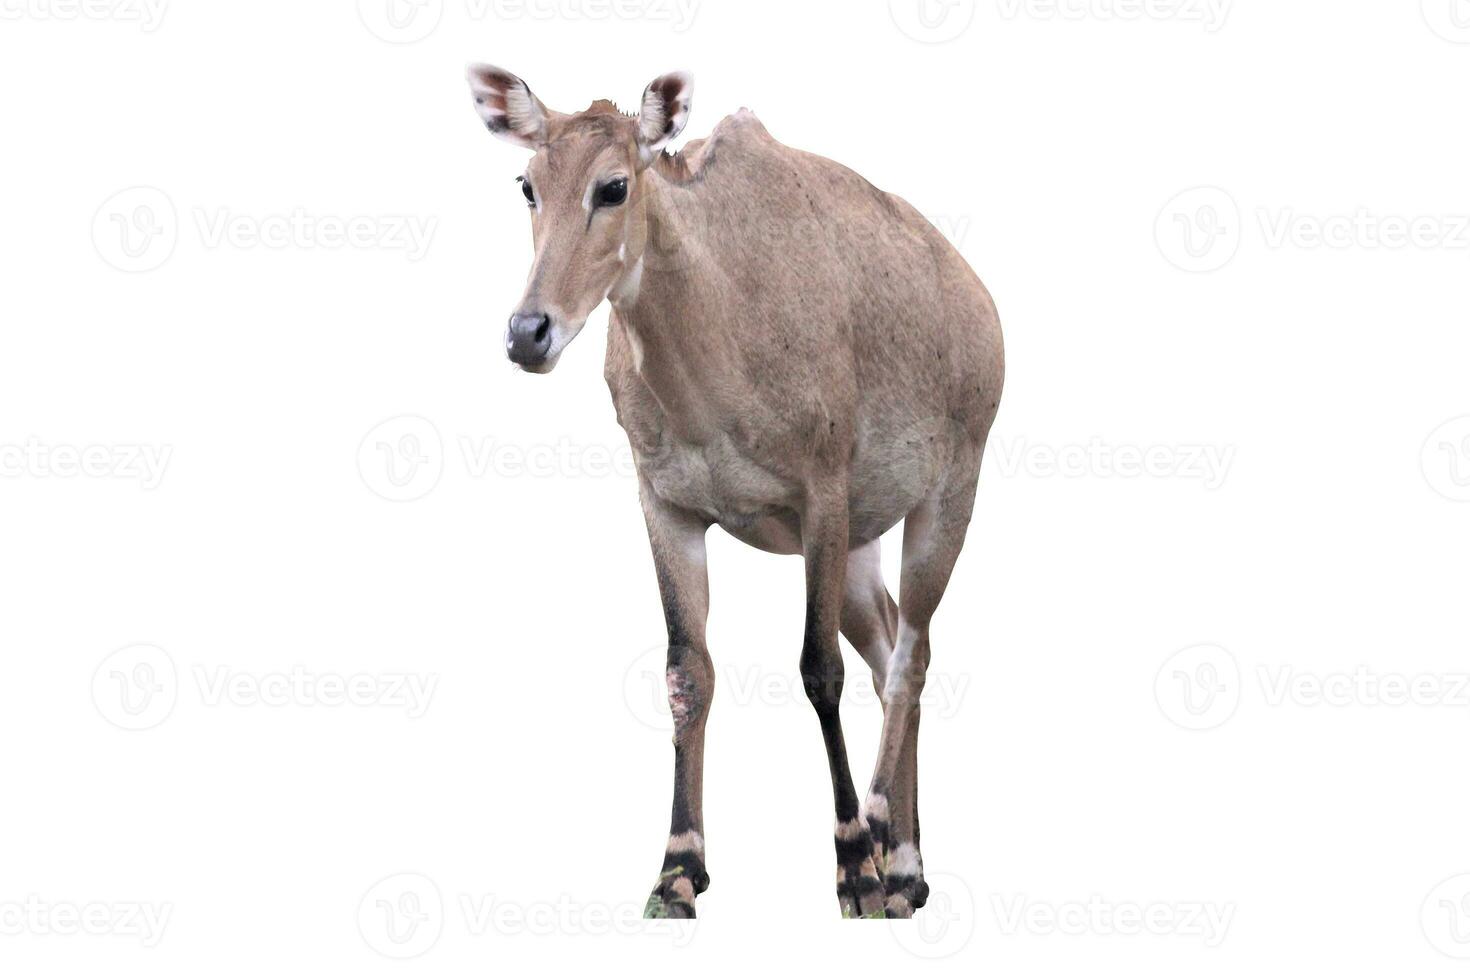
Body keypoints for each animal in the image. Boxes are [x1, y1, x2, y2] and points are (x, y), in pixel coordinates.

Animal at [464, 67, 1005, 922]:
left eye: (613, 185)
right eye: (527, 184)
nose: (528, 333)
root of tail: (982, 305)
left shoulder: (821, 491)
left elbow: (818, 670)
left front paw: (851, 867)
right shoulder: (667, 503)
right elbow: (688, 671)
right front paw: (677, 872)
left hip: (949, 493)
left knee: (910, 654)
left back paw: (885, 841)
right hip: (862, 544)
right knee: (889, 641)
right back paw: (908, 869)